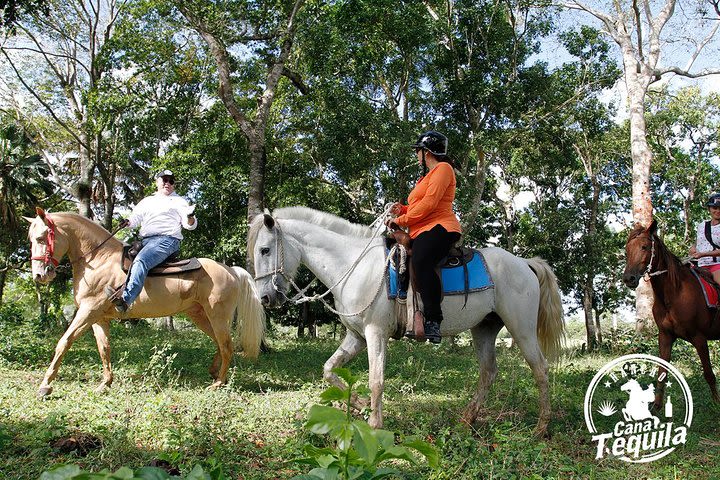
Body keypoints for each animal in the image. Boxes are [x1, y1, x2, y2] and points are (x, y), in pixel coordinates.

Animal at [27, 206, 268, 398]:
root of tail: (231, 271)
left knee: (227, 345)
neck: (98, 259)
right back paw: (215, 373)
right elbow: (104, 348)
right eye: (31, 240)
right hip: (199, 315)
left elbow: (63, 343)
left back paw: (218, 383)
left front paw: (45, 386)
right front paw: (105, 384)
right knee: (220, 343)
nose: (39, 275)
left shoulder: (87, 312)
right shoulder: (98, 318)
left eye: (41, 238)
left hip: (217, 316)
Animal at [250, 206, 564, 436]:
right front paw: (362, 405)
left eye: (265, 250)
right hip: (484, 328)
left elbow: (376, 379)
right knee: (488, 372)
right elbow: (329, 370)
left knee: (540, 369)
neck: (355, 266)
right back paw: (467, 419)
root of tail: (524, 263)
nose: (265, 297)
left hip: (522, 329)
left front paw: (375, 423)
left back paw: (541, 427)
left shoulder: (375, 333)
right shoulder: (356, 336)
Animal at [620, 220, 716, 404]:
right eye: (626, 250)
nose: (629, 278)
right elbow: (661, 373)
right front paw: (656, 408)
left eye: (644, 247)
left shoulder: (699, 338)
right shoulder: (665, 336)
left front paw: (716, 404)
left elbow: (709, 374)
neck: (673, 294)